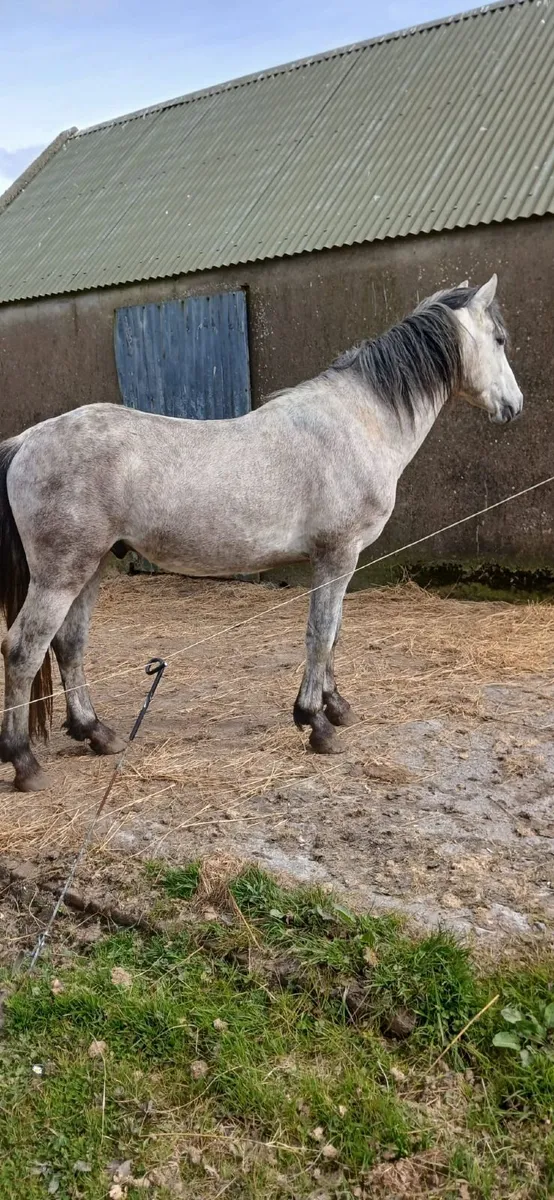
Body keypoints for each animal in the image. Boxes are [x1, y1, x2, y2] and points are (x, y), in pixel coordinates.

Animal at [0, 275, 523, 792]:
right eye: (499, 339)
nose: (514, 406)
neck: (358, 423)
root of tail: (28, 440)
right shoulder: (338, 554)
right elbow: (320, 633)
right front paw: (316, 723)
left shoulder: (340, 560)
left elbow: (334, 633)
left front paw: (337, 706)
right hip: (60, 575)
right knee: (23, 650)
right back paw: (25, 762)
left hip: (92, 567)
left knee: (69, 646)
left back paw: (97, 733)